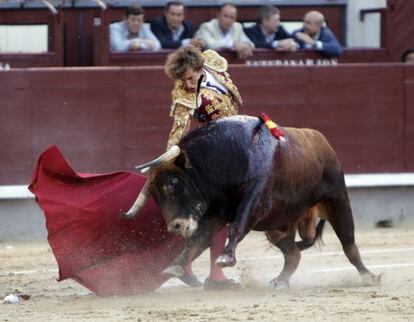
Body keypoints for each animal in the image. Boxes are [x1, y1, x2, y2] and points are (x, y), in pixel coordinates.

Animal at [122, 115, 378, 286]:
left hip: (337, 200)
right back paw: (280, 281)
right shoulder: (214, 212)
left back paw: (370, 277)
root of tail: (321, 139)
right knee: (293, 254)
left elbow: (237, 226)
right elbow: (199, 238)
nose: (175, 226)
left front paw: (225, 258)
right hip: (278, 226)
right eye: (154, 196)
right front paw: (176, 266)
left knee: (349, 245)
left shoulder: (254, 202)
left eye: (174, 183)